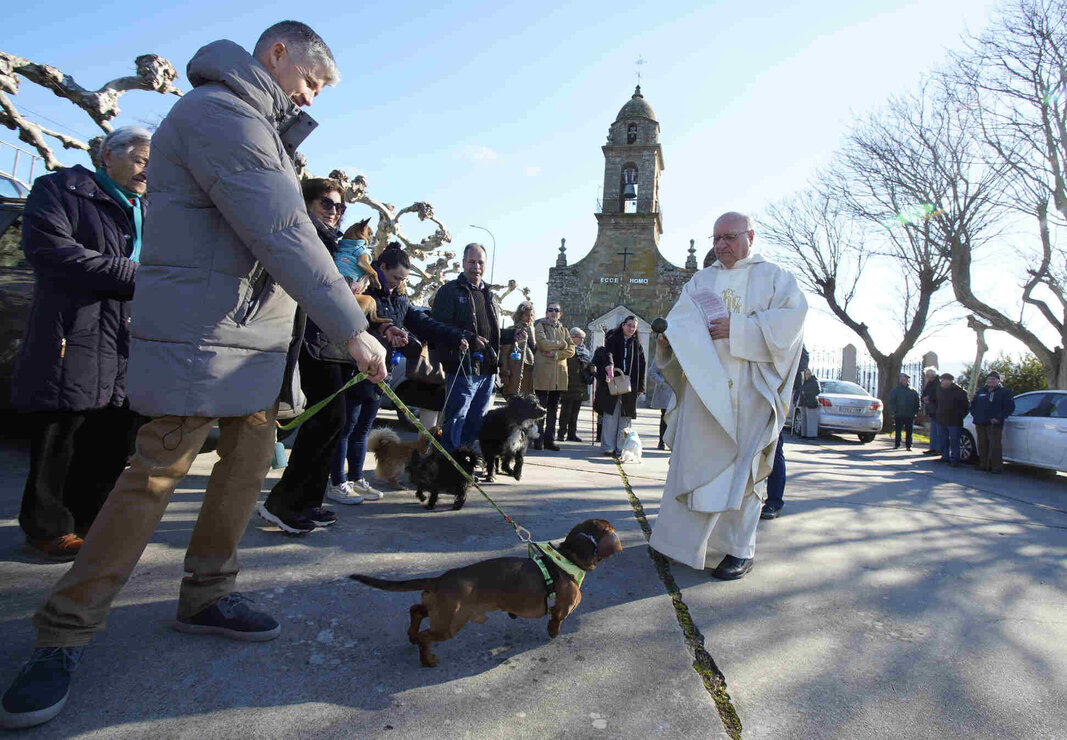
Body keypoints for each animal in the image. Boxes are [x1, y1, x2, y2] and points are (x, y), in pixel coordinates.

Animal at [349, 518, 623, 669]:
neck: (567, 557)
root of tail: (440, 579)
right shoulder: (562, 609)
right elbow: (556, 620)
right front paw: (553, 633)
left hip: (439, 610)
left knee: (415, 610)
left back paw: (411, 636)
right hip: (450, 623)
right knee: (427, 635)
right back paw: (428, 660)